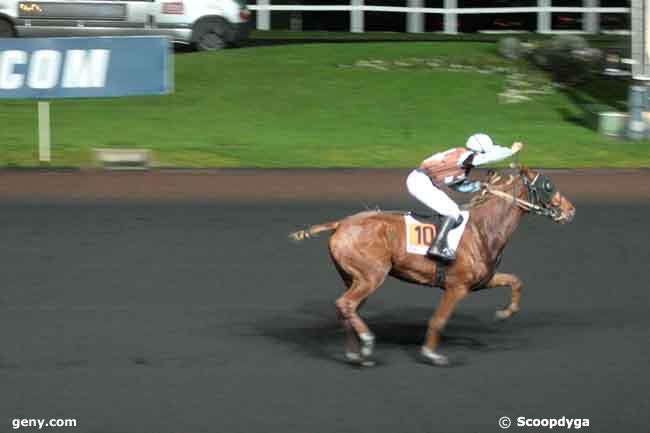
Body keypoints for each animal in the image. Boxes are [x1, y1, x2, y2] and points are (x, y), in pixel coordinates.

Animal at [288, 165, 572, 364]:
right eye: (548, 185)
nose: (570, 210)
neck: (483, 228)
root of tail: (340, 224)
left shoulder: (483, 280)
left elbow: (515, 281)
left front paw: (504, 313)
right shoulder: (457, 287)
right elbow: (439, 320)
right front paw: (432, 354)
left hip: (353, 277)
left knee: (346, 308)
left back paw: (354, 352)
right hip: (371, 276)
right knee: (345, 304)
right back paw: (366, 344)